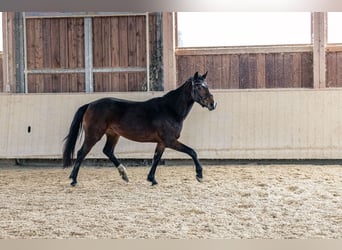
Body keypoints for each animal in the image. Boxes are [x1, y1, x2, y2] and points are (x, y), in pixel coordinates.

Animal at [62, 71, 216, 186]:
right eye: (199, 87)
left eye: (207, 85)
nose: (213, 104)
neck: (170, 109)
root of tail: (90, 105)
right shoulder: (170, 141)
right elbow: (192, 152)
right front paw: (199, 174)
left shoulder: (162, 143)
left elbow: (156, 158)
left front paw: (152, 179)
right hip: (94, 135)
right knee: (82, 152)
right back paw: (74, 179)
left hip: (113, 134)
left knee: (108, 151)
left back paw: (124, 175)